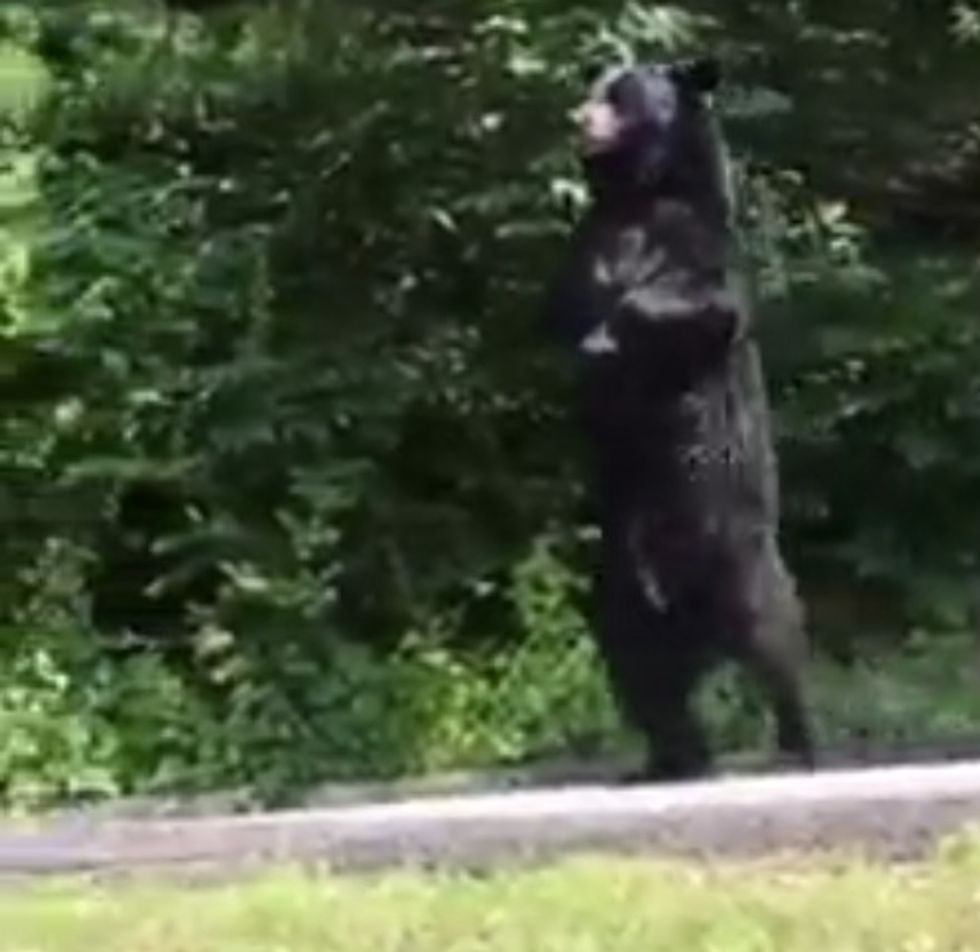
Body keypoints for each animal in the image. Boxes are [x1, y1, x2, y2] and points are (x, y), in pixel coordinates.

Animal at [544, 55, 812, 776]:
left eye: (620, 95)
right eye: (592, 91)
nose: (578, 117)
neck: (637, 196)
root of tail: (693, 623)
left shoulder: (694, 246)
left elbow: (692, 301)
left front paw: (606, 338)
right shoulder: (586, 247)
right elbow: (563, 310)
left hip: (738, 554)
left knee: (776, 635)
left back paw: (796, 743)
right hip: (621, 596)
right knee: (640, 673)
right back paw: (671, 757)